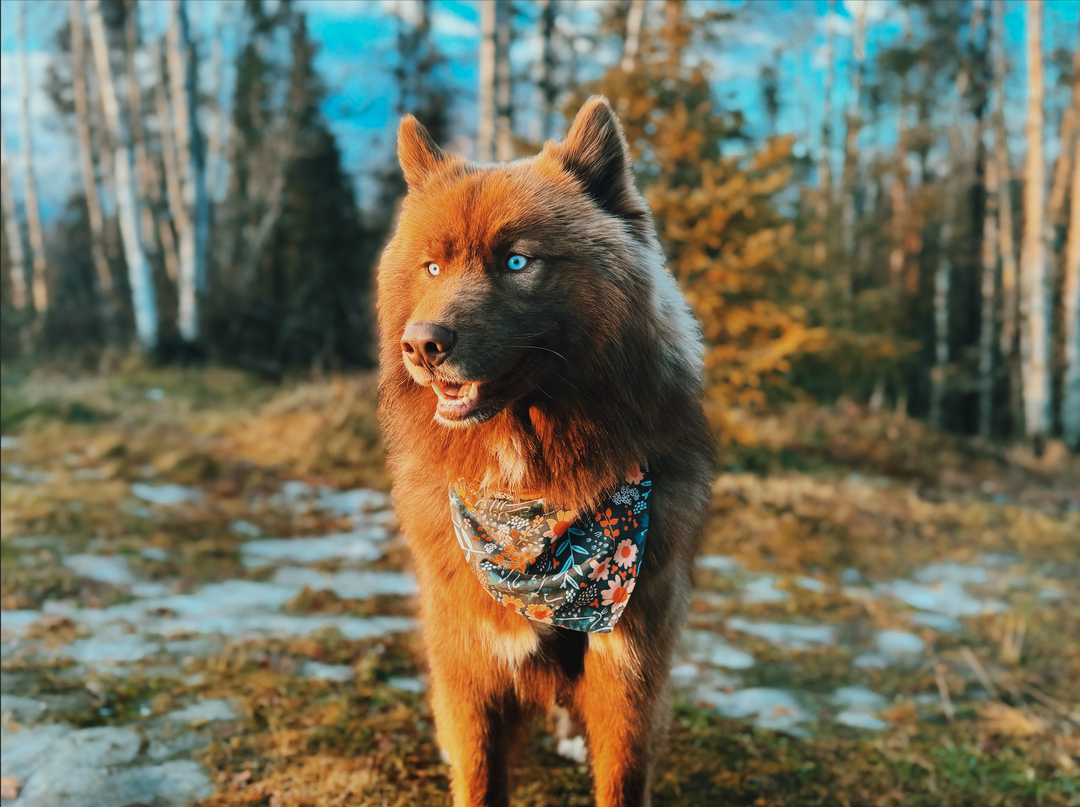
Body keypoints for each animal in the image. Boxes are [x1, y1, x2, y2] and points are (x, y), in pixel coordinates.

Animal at [375, 96, 712, 807]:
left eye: (516, 262)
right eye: (432, 267)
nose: (421, 345)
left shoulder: (628, 675)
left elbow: (620, 779)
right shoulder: (471, 668)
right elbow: (479, 777)